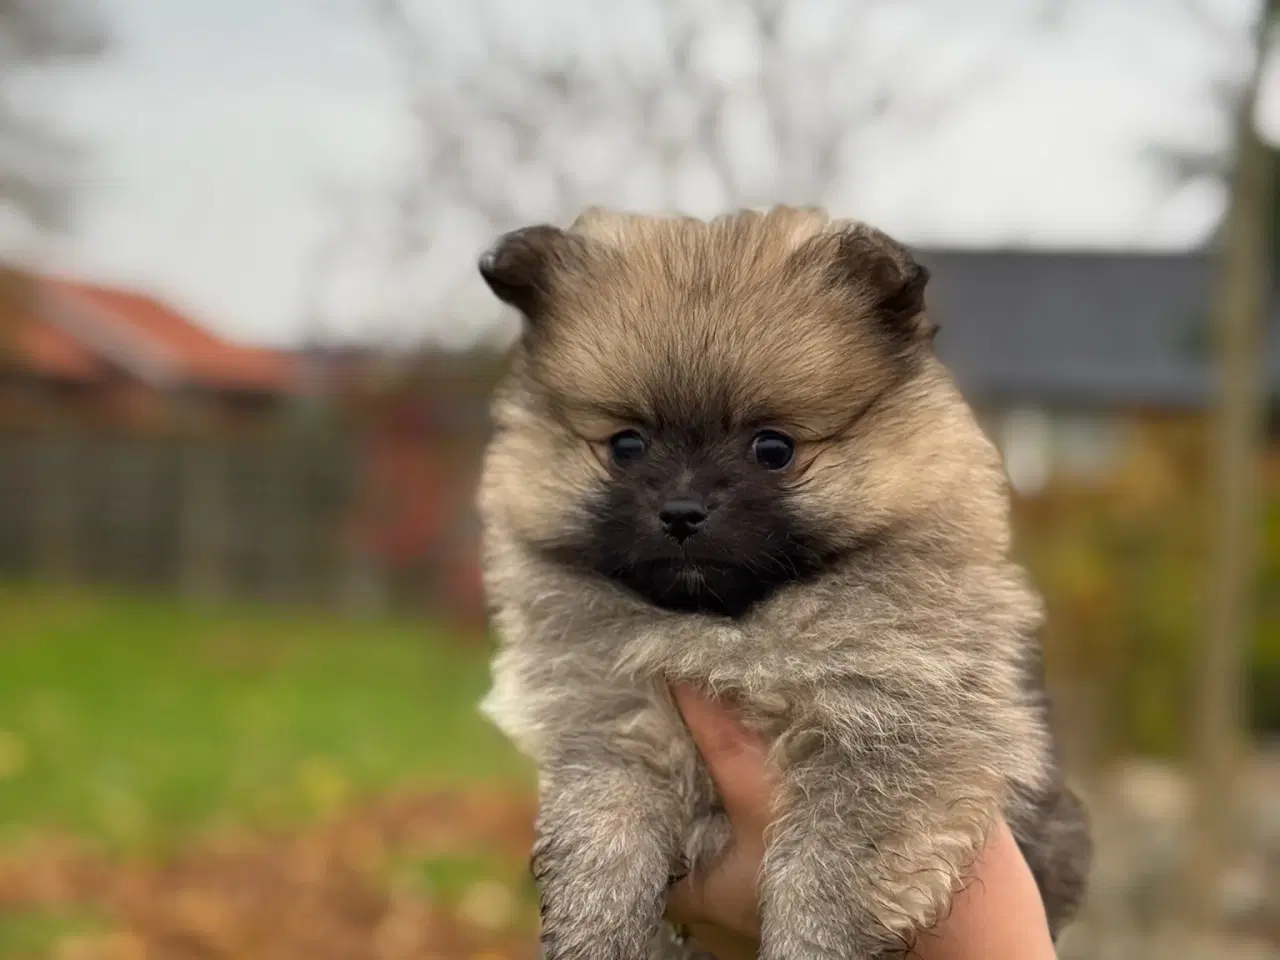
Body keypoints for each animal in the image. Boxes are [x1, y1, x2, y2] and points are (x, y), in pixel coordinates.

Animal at [476, 207, 1095, 957]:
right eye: (626, 446)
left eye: (773, 448)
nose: (681, 511)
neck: (726, 629)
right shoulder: (610, 727)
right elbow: (602, 837)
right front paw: (594, 937)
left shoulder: (890, 740)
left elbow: (824, 876)